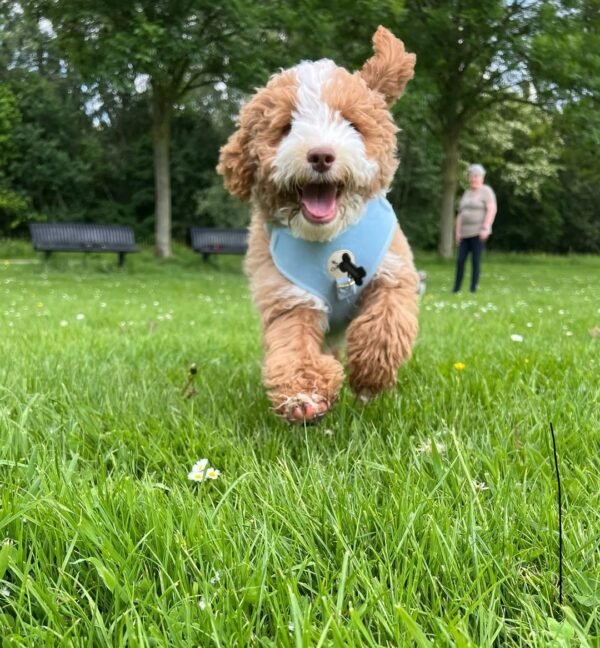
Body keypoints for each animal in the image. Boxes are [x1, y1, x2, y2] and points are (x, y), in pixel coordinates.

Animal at [218, 25, 420, 422]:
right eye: (286, 127)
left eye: (352, 124)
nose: (321, 155)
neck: (330, 239)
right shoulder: (289, 297)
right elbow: (294, 348)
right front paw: (304, 396)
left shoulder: (393, 272)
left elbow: (386, 321)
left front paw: (370, 374)